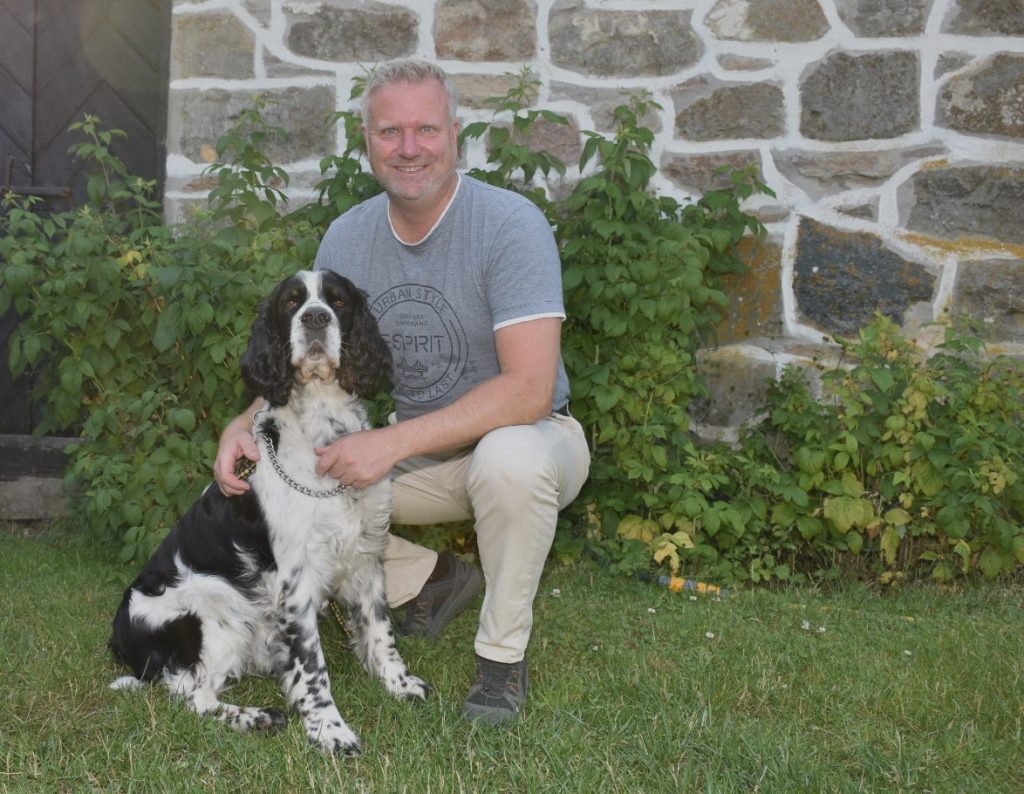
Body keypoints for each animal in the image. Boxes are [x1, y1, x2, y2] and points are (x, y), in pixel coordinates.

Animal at [110, 270, 430, 754]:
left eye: (337, 301)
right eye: (291, 303)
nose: (316, 318)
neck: (321, 427)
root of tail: (119, 636)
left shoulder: (365, 554)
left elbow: (380, 630)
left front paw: (399, 683)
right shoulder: (295, 580)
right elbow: (313, 667)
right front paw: (330, 730)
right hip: (212, 612)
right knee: (192, 696)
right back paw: (257, 716)